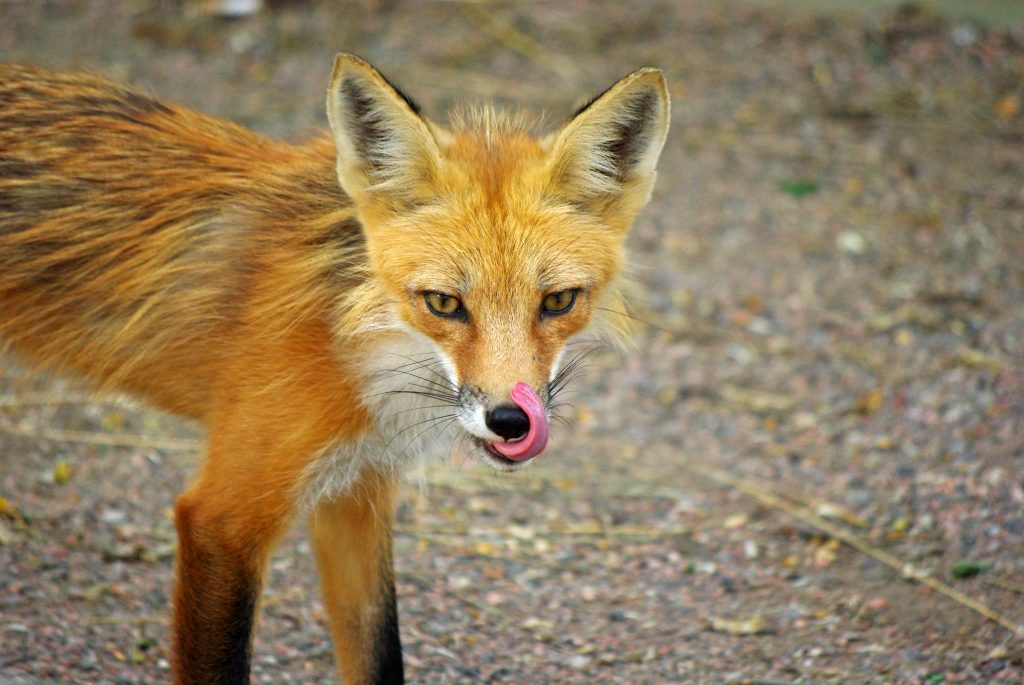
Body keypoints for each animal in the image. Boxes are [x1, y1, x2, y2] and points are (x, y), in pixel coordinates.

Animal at [0, 54, 670, 683]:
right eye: (443, 303)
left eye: (557, 301)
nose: (510, 420)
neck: (354, 346)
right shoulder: (222, 517)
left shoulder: (356, 493)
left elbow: (378, 652)